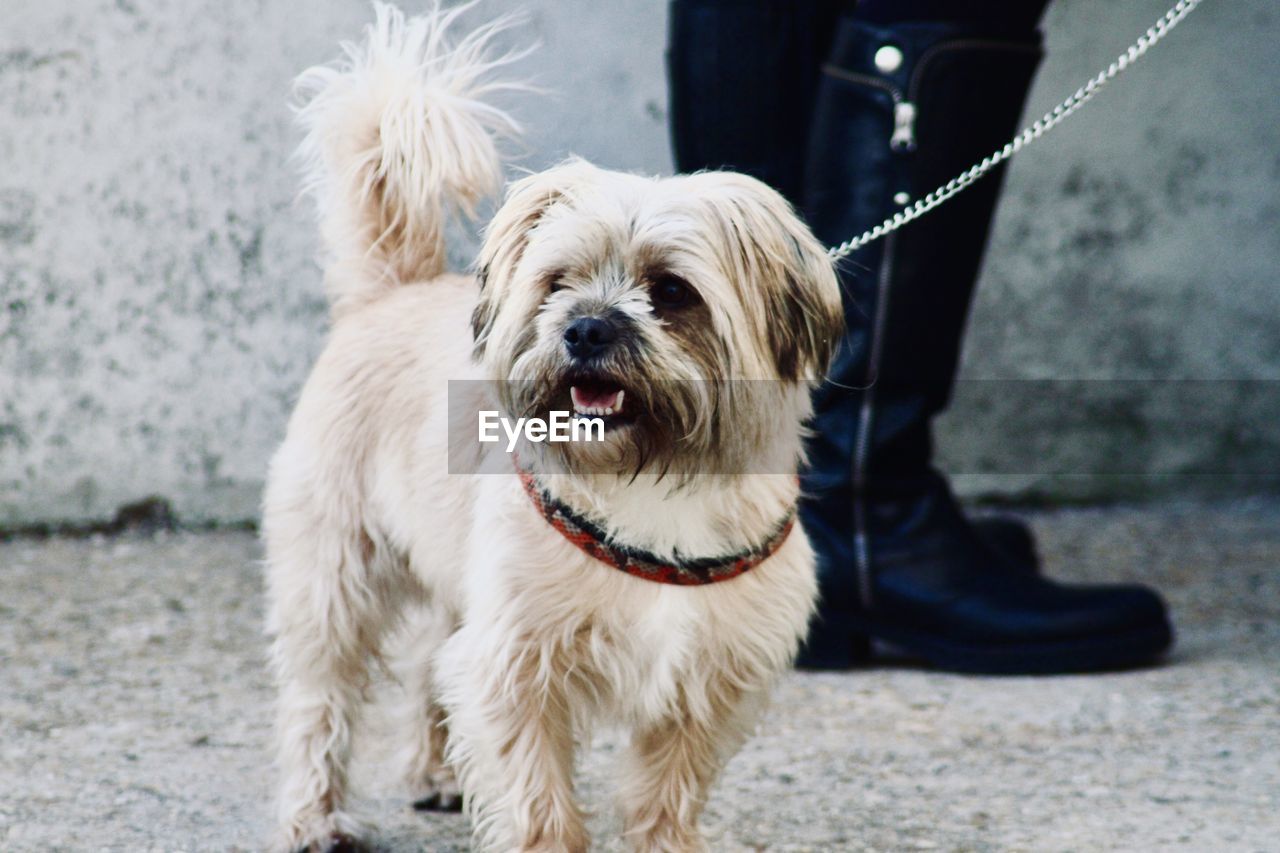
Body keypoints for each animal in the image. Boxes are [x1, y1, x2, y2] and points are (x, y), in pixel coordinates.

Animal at [263, 3, 844, 845]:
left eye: (672, 291)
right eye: (558, 283)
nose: (585, 328)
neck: (652, 475)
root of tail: (390, 291)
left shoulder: (708, 684)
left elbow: (668, 794)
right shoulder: (515, 668)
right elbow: (538, 800)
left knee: (429, 660)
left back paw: (437, 775)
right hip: (334, 579)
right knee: (321, 699)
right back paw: (314, 816)